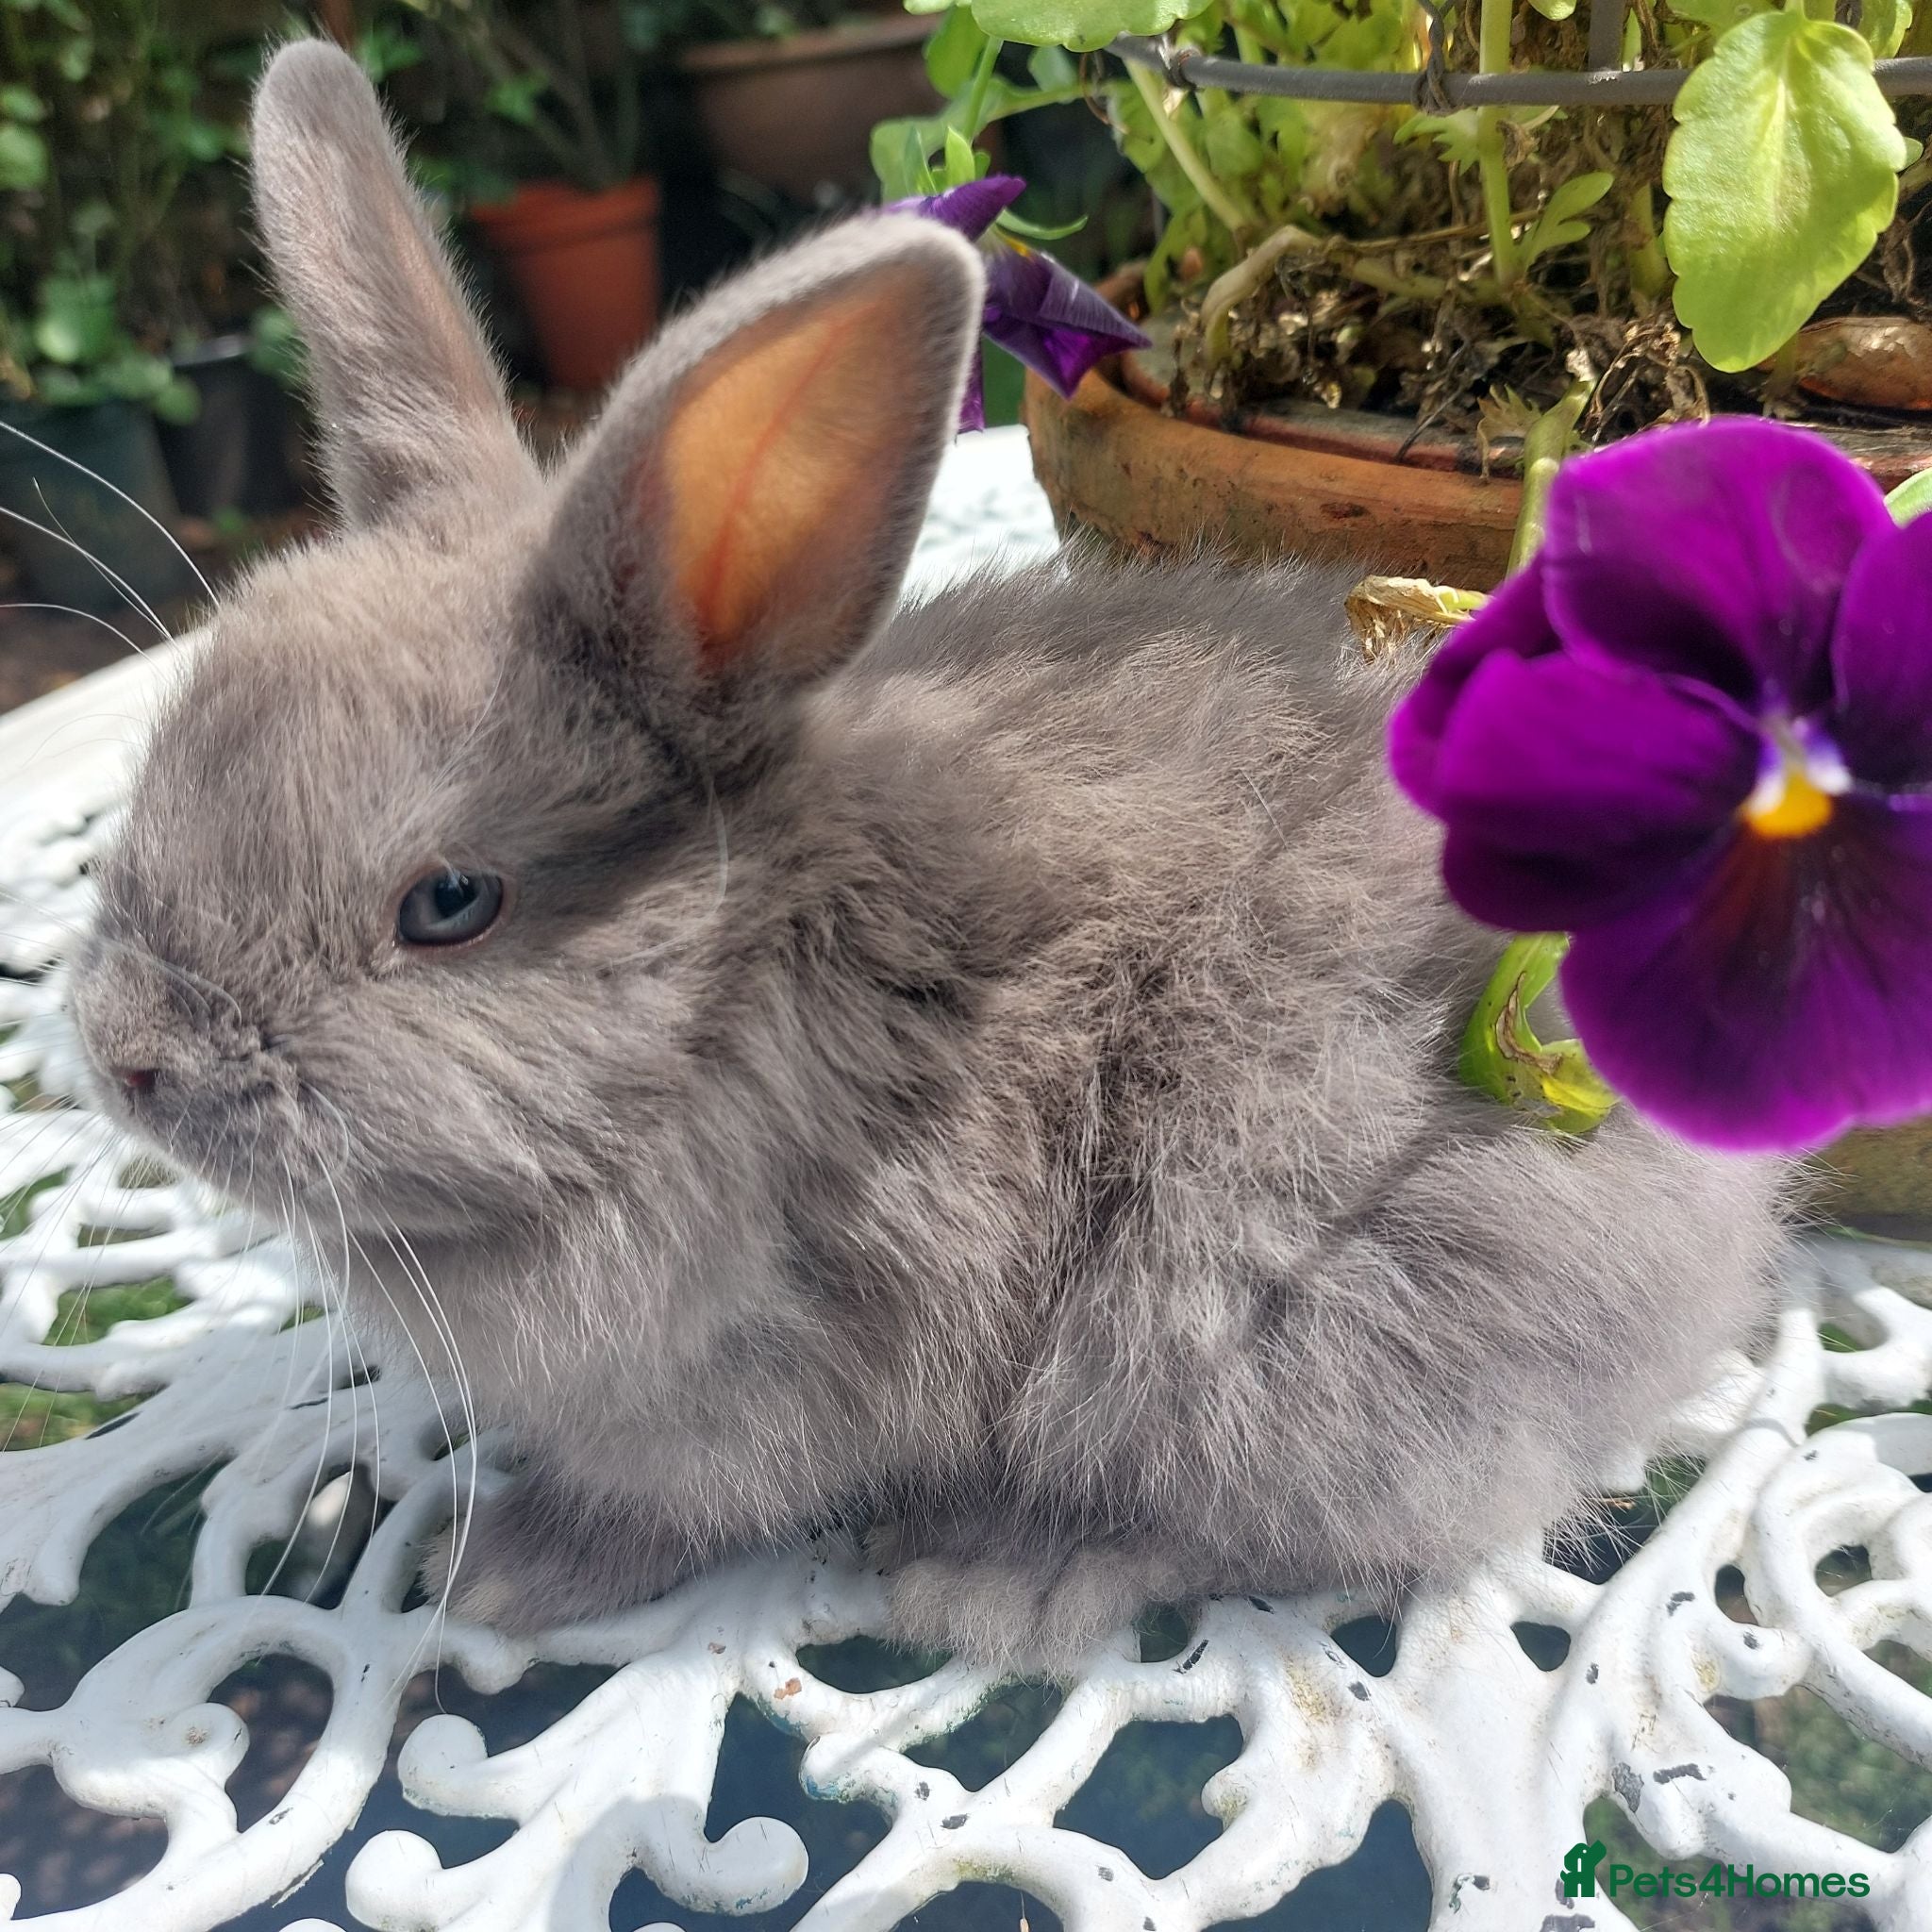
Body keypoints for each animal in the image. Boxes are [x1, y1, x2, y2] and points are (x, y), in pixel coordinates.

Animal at [65, 39, 1790, 1670]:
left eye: (447, 904)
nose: (126, 1056)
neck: (718, 1002)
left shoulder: (750, 1374)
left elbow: (666, 1505)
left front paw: (497, 1572)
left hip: (1244, 1304)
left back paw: (997, 1572)